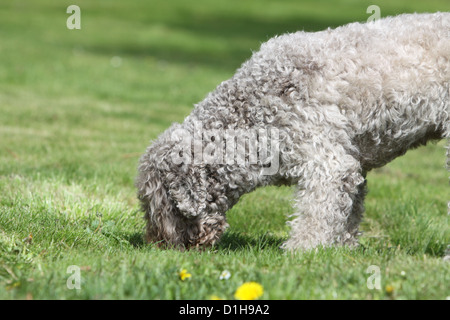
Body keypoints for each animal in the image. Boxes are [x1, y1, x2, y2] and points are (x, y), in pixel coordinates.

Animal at [136, 13, 450, 250]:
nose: (159, 244)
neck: (254, 114)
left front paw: (302, 251)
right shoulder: (352, 165)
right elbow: (347, 214)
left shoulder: (327, 163)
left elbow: (316, 213)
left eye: (161, 206)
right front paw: (340, 251)